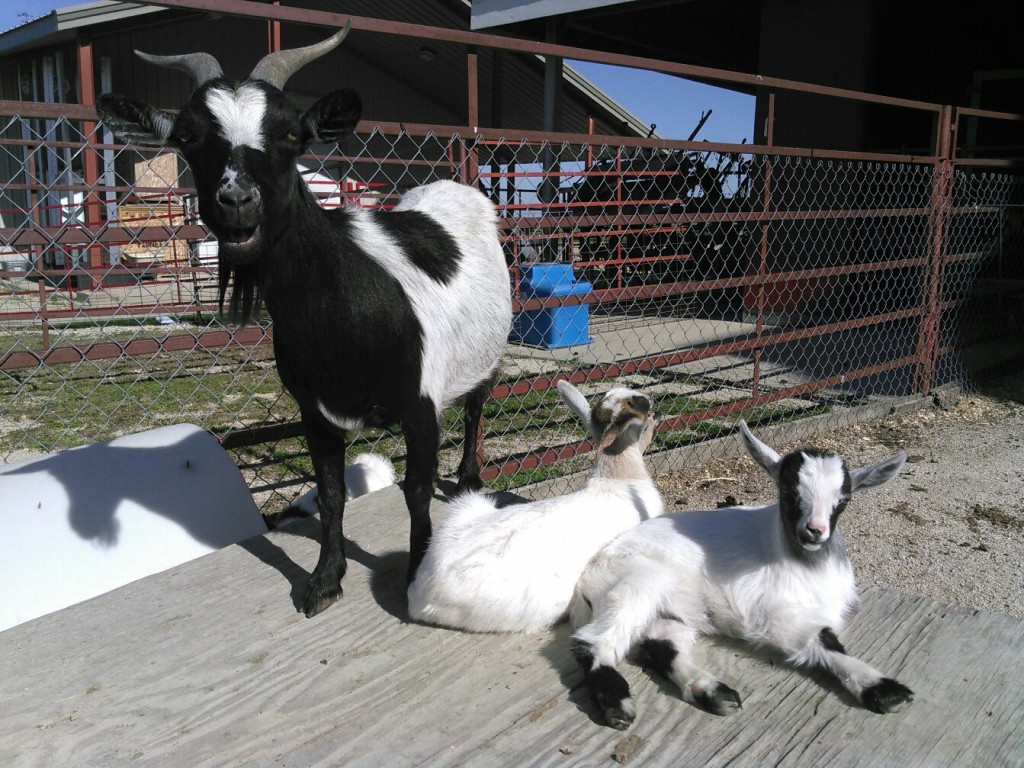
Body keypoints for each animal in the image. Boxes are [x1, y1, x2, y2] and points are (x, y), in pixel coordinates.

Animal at [96, 20, 512, 618]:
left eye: (293, 135)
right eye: (187, 136)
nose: (237, 201)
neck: (340, 314)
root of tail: (453, 187)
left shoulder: (420, 405)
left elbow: (414, 490)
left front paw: (416, 576)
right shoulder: (314, 411)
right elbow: (332, 494)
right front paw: (324, 581)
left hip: (487, 350)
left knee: (478, 404)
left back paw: (468, 479)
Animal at [573, 423, 917, 729]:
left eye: (843, 499)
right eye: (788, 491)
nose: (814, 531)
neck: (805, 564)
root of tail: (587, 576)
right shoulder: (774, 614)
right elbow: (822, 640)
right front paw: (884, 689)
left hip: (673, 610)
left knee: (661, 645)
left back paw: (711, 692)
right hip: (639, 581)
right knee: (592, 642)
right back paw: (618, 705)